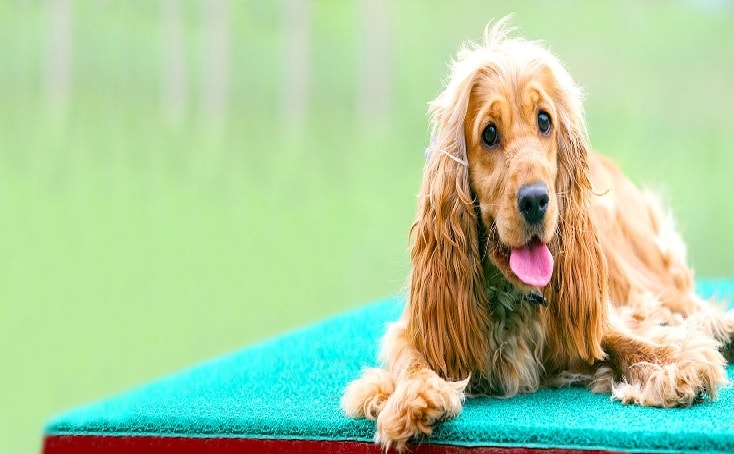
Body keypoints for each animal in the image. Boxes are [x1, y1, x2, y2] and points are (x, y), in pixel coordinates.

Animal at [344, 16, 734, 450]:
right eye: (489, 133)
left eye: (544, 121)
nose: (535, 200)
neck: (512, 298)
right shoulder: (416, 329)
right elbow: (411, 358)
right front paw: (413, 396)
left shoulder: (586, 312)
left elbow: (616, 336)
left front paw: (673, 362)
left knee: (685, 302)